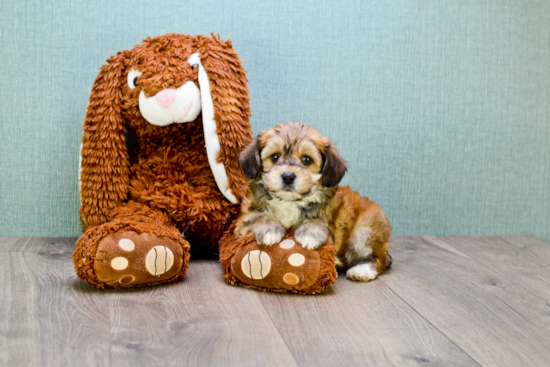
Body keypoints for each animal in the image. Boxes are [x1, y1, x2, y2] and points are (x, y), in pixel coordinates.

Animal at [73, 33, 252, 288]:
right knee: (141, 217)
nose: (166, 96)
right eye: (134, 80)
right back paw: (126, 249)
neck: (177, 144)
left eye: (194, 67)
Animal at [235, 122, 394, 284]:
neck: (289, 201)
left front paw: (310, 233)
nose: (288, 176)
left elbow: (317, 221)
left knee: (380, 259)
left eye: (306, 160)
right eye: (275, 157)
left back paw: (362, 271)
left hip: (365, 230)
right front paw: (269, 228)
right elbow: (257, 217)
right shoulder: (243, 221)